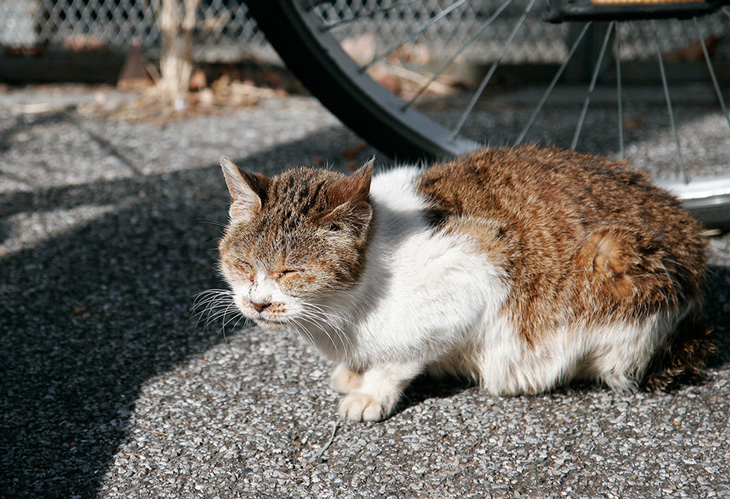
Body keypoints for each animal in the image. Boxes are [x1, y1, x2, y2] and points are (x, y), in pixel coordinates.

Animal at [212, 146, 712, 424]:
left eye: (290, 272)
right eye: (243, 264)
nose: (257, 303)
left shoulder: (474, 273)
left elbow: (401, 357)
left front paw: (371, 390)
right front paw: (354, 371)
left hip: (612, 257)